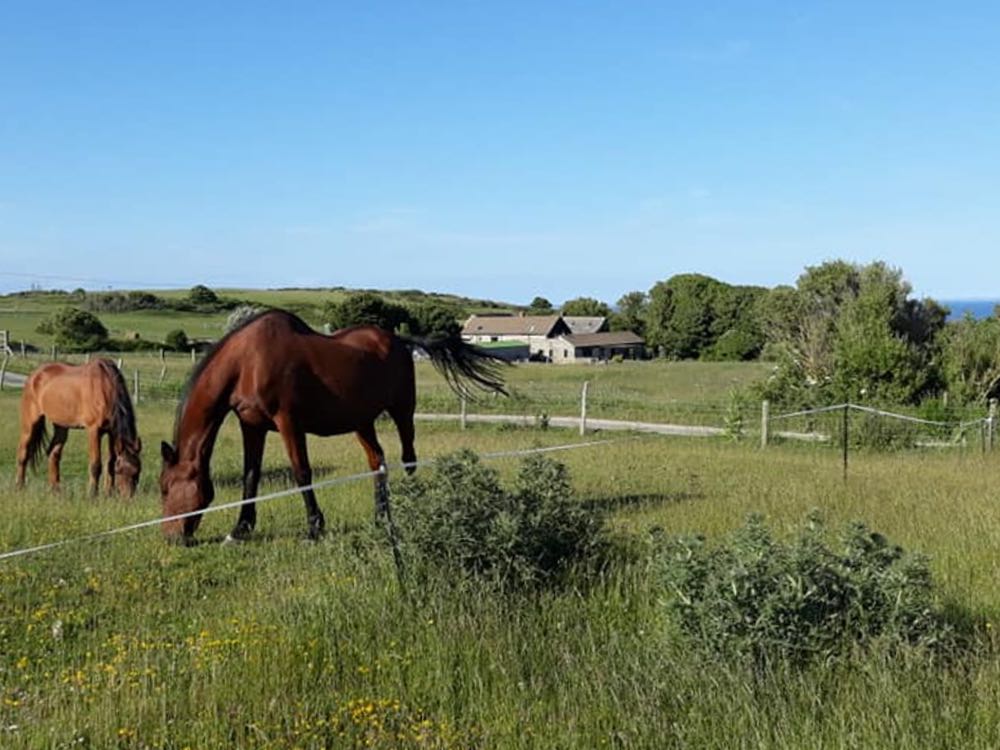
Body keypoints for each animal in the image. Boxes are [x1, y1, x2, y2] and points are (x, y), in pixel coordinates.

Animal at [14, 360, 145, 500]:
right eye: (119, 470)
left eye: (137, 471)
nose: (128, 498)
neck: (106, 387)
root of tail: (34, 375)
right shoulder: (94, 430)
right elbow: (95, 465)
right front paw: (92, 494)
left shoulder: (111, 432)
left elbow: (110, 462)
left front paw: (108, 494)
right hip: (30, 423)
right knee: (23, 453)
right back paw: (19, 487)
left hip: (61, 426)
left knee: (53, 453)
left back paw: (55, 490)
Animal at [162, 308, 508, 544]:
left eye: (165, 488)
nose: (172, 537)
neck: (248, 361)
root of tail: (398, 339)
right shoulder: (252, 426)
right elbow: (251, 477)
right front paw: (240, 530)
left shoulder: (289, 423)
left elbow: (302, 474)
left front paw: (314, 527)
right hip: (362, 423)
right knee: (377, 460)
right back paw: (380, 517)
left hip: (402, 412)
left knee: (408, 459)